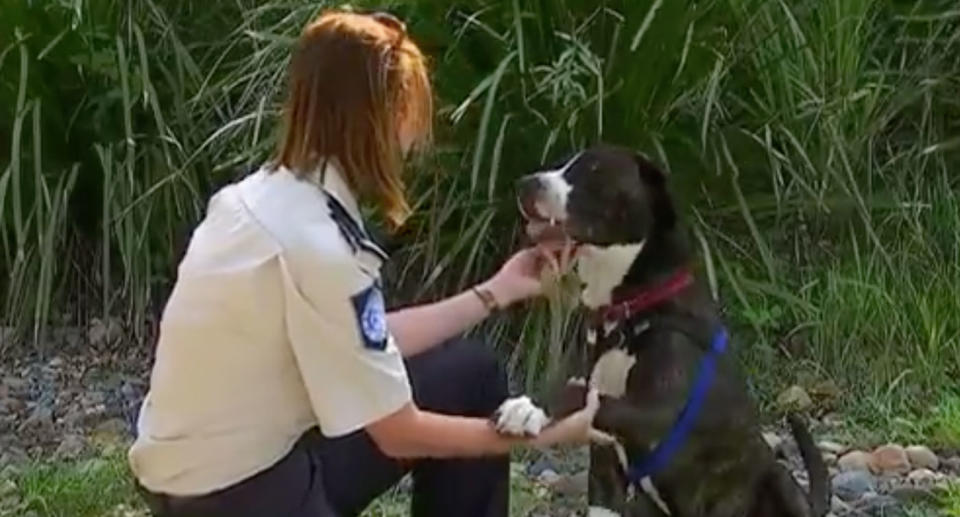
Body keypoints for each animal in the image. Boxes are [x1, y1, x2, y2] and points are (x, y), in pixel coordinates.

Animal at [492, 145, 828, 516]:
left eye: (595, 171)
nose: (524, 184)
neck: (630, 309)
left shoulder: (663, 413)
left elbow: (578, 392)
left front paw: (529, 409)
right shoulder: (605, 463)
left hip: (777, 479)